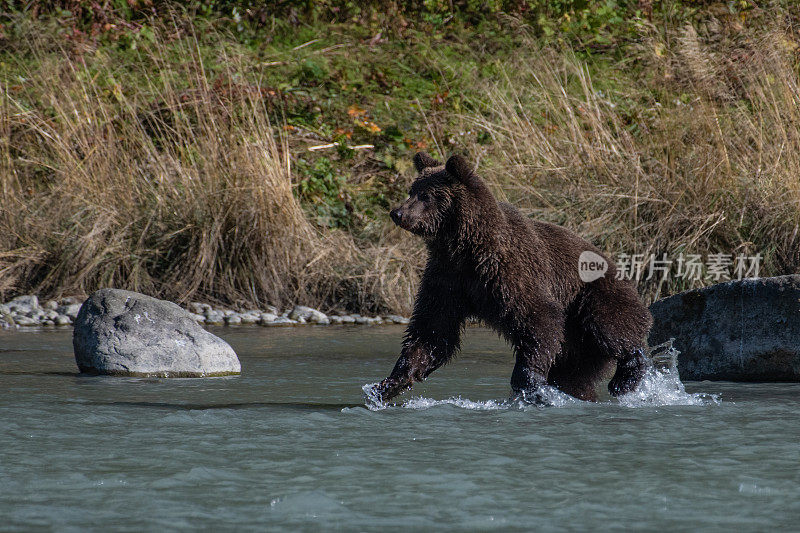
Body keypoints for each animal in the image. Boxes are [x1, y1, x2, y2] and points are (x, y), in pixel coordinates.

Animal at [366, 152, 652, 402]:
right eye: (412, 190)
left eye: (425, 195)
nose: (397, 213)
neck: (465, 246)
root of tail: (620, 269)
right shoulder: (448, 278)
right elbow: (432, 331)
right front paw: (387, 385)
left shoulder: (507, 271)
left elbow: (539, 318)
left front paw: (527, 383)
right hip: (579, 346)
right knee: (574, 375)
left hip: (592, 295)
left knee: (612, 328)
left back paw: (625, 378)